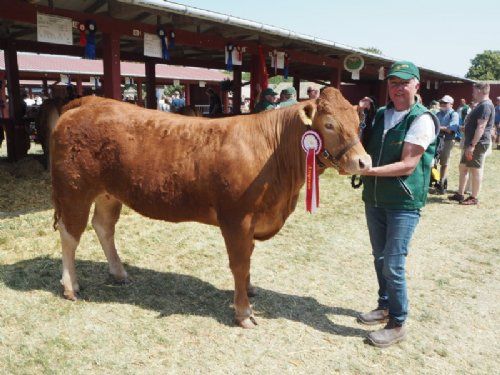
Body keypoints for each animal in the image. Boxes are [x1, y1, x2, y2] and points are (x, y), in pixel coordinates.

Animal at [51, 88, 372, 328]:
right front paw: (243, 312)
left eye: (358, 123)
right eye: (329, 124)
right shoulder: (237, 219)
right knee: (70, 235)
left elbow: (248, 260)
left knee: (104, 227)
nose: (364, 162)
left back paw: (118, 273)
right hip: (74, 190)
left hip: (108, 193)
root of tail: (88, 102)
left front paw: (250, 290)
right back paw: (70, 286)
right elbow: (240, 263)